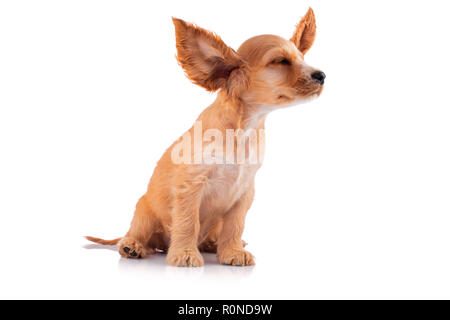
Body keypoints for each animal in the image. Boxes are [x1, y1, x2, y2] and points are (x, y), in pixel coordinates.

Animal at [87, 8, 324, 268]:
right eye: (280, 61)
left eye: (302, 58)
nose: (321, 75)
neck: (243, 129)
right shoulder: (191, 185)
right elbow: (188, 221)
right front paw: (185, 253)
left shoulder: (244, 191)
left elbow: (235, 225)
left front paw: (232, 251)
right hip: (144, 212)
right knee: (138, 235)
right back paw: (133, 246)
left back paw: (213, 244)